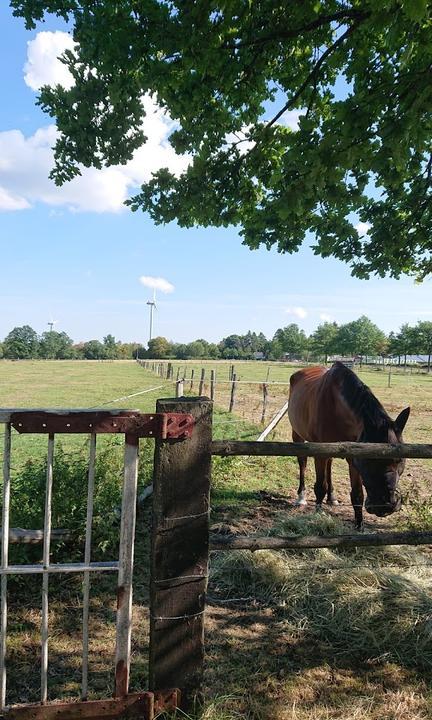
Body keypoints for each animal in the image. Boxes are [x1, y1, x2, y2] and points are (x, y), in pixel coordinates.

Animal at [288, 362, 410, 524]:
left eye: (400, 460)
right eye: (368, 460)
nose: (385, 506)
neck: (336, 406)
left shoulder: (353, 458)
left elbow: (357, 495)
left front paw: (359, 525)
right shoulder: (320, 454)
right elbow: (320, 486)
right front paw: (317, 514)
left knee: (329, 465)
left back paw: (332, 497)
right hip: (297, 435)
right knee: (303, 463)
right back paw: (301, 497)